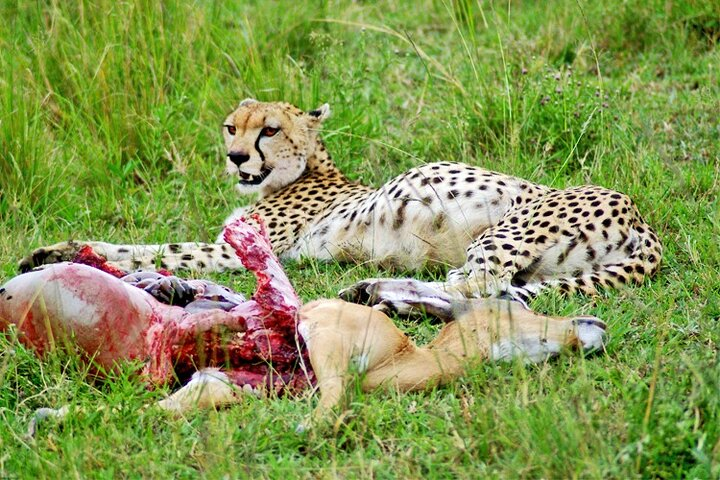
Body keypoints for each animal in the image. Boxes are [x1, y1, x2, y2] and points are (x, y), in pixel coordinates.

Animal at [19, 100, 664, 312]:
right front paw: (54, 252)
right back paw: (370, 291)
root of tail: (638, 213)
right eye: (231, 126)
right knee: (491, 289)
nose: (234, 156)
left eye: (269, 130)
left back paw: (374, 294)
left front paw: (68, 255)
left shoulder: (235, 250)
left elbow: (152, 249)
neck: (307, 169)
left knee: (474, 287)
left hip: (499, 235)